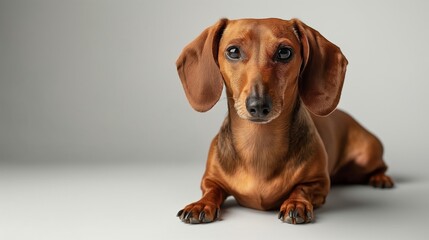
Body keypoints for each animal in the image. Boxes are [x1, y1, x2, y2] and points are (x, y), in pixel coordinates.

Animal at [173, 17, 392, 224]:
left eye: (284, 52)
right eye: (233, 51)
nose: (258, 105)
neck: (258, 144)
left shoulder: (319, 182)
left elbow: (301, 189)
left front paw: (296, 203)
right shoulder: (209, 179)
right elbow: (212, 190)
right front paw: (201, 204)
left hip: (366, 156)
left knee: (380, 166)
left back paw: (381, 178)